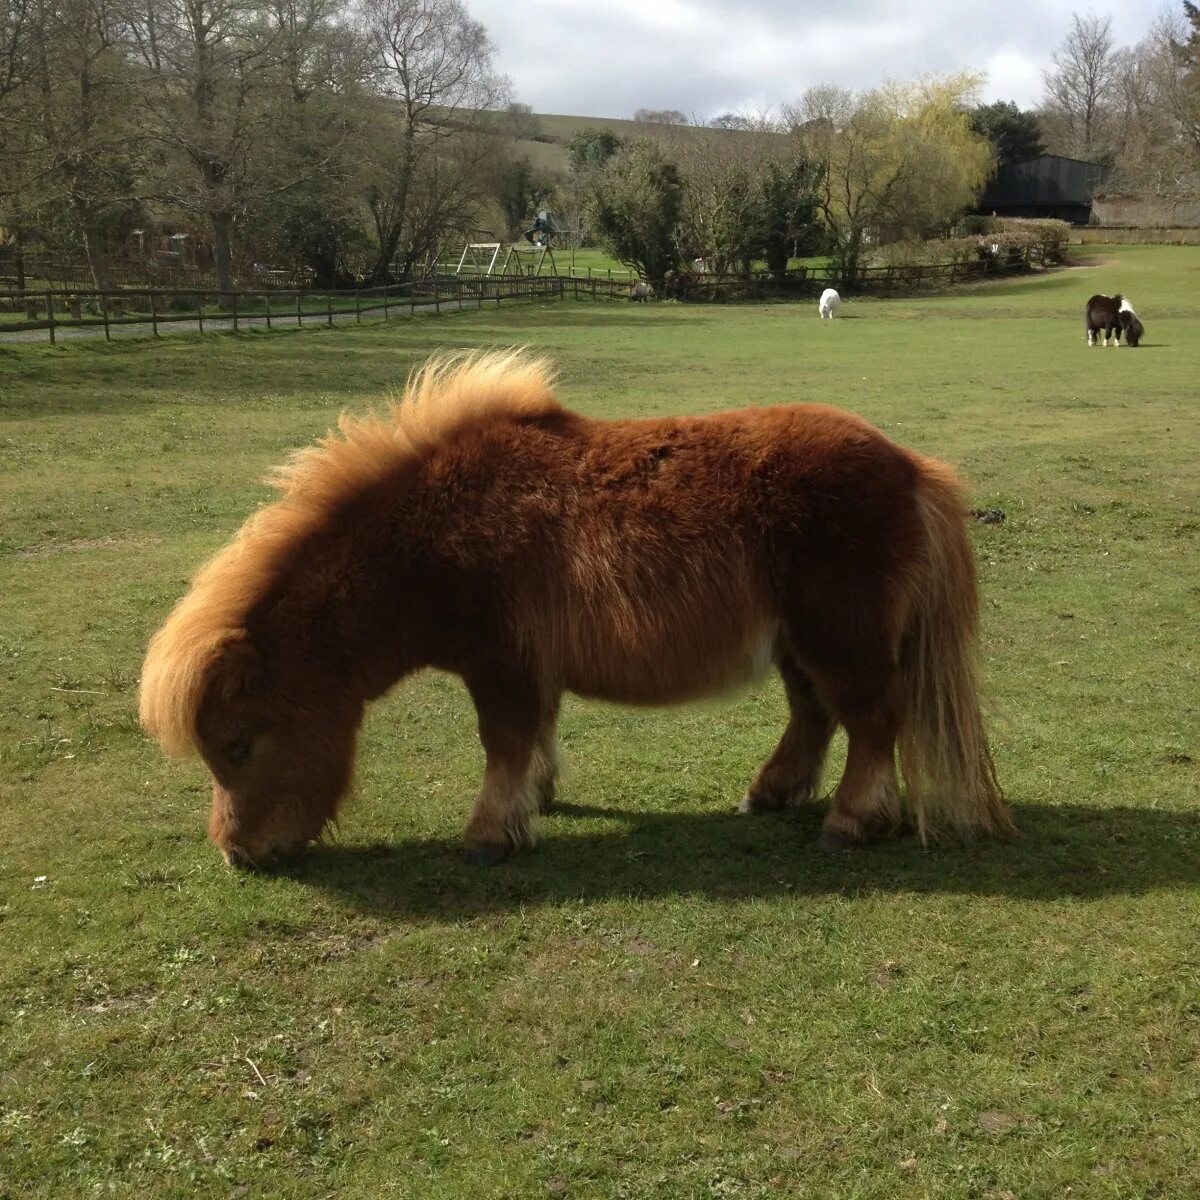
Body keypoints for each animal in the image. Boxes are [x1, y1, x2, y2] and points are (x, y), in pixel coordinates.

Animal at [138, 350, 1012, 868]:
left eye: (240, 745)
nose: (238, 854)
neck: (431, 531)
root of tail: (911, 468)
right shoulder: (531, 664)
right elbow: (536, 736)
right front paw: (541, 797)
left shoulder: (500, 663)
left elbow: (503, 741)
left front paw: (491, 831)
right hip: (798, 642)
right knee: (817, 715)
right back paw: (771, 793)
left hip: (841, 638)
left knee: (872, 720)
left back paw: (853, 819)